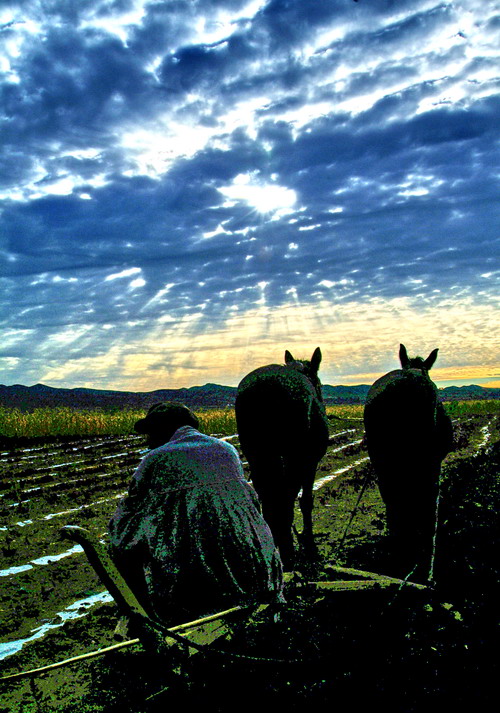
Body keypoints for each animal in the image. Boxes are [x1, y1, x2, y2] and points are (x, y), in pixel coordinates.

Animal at [235, 344, 330, 568]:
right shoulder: (310, 462)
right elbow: (306, 501)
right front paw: (309, 545)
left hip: (258, 454)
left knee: (267, 492)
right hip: (294, 456)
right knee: (286, 493)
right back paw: (287, 549)